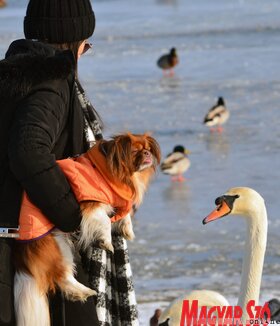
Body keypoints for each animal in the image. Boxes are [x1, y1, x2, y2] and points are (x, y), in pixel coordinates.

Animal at [14, 133, 161, 326]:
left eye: (148, 149)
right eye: (136, 150)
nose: (147, 153)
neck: (108, 168)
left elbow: (124, 215)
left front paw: (127, 230)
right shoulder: (92, 203)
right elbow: (105, 221)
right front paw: (106, 242)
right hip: (57, 247)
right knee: (63, 277)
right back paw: (86, 291)